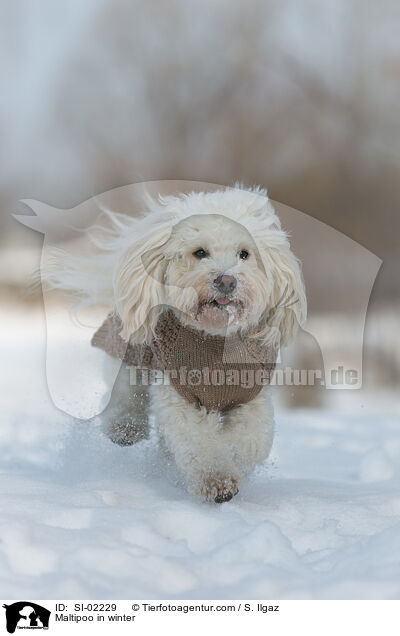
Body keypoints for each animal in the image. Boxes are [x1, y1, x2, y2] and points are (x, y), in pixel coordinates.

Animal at [47, 184, 306, 502]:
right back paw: (124, 429)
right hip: (130, 353)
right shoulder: (178, 394)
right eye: (200, 252)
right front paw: (215, 480)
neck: (215, 338)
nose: (226, 281)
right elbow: (198, 442)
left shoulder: (250, 397)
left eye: (244, 254)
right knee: (124, 392)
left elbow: (250, 439)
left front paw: (229, 472)